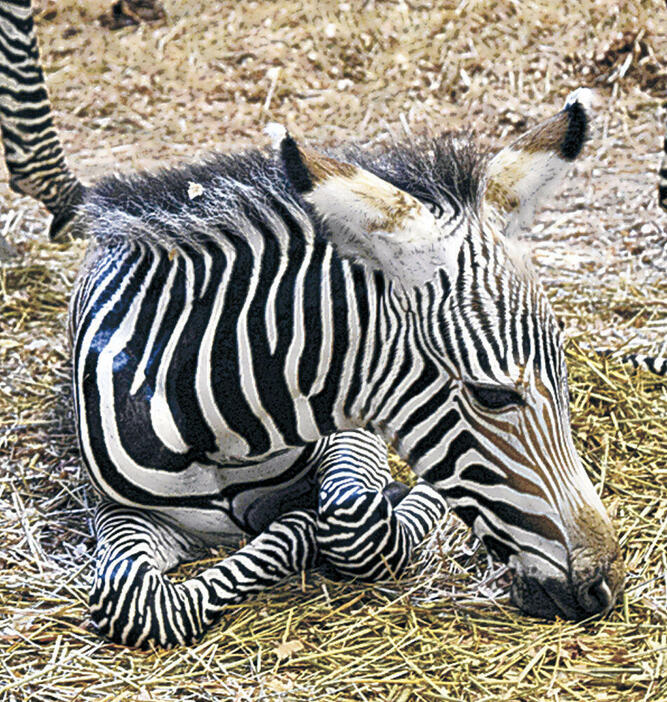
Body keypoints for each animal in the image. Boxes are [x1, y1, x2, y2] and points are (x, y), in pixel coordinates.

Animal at [0, 0, 628, 648]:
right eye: (492, 395)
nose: (603, 588)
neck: (224, 421)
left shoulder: (353, 429)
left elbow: (348, 517)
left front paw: (371, 506)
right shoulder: (120, 511)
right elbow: (138, 598)